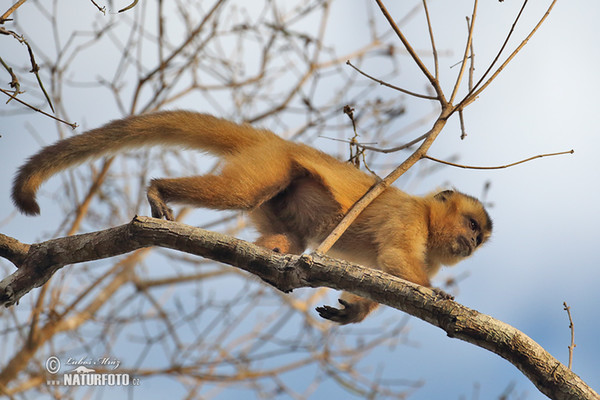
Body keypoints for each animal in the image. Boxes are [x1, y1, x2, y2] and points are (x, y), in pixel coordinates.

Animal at [10, 111, 492, 324]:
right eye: (472, 226)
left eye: (480, 238)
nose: (472, 245)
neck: (429, 220)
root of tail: (276, 140)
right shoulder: (409, 216)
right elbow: (395, 261)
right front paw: (439, 296)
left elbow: (383, 278)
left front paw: (352, 312)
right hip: (271, 165)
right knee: (243, 193)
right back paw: (160, 188)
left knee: (287, 244)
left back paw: (272, 263)